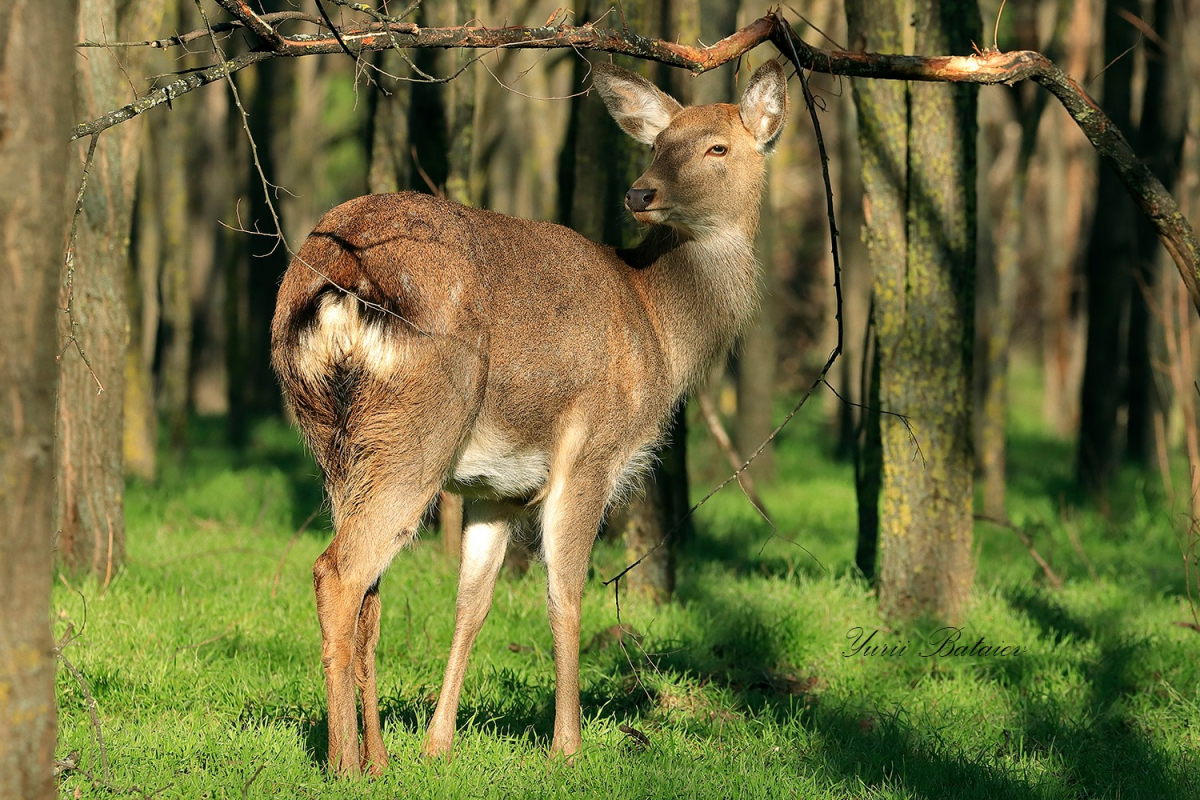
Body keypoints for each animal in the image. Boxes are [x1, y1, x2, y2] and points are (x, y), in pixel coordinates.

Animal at [274, 57, 792, 777]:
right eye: (658, 144)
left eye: (717, 146)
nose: (640, 193)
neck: (659, 326)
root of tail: (334, 277)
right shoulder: (592, 451)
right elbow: (565, 590)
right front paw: (567, 746)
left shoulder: (495, 489)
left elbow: (472, 601)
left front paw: (438, 744)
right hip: (420, 428)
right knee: (339, 573)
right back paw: (344, 763)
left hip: (331, 440)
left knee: (369, 590)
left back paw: (379, 759)